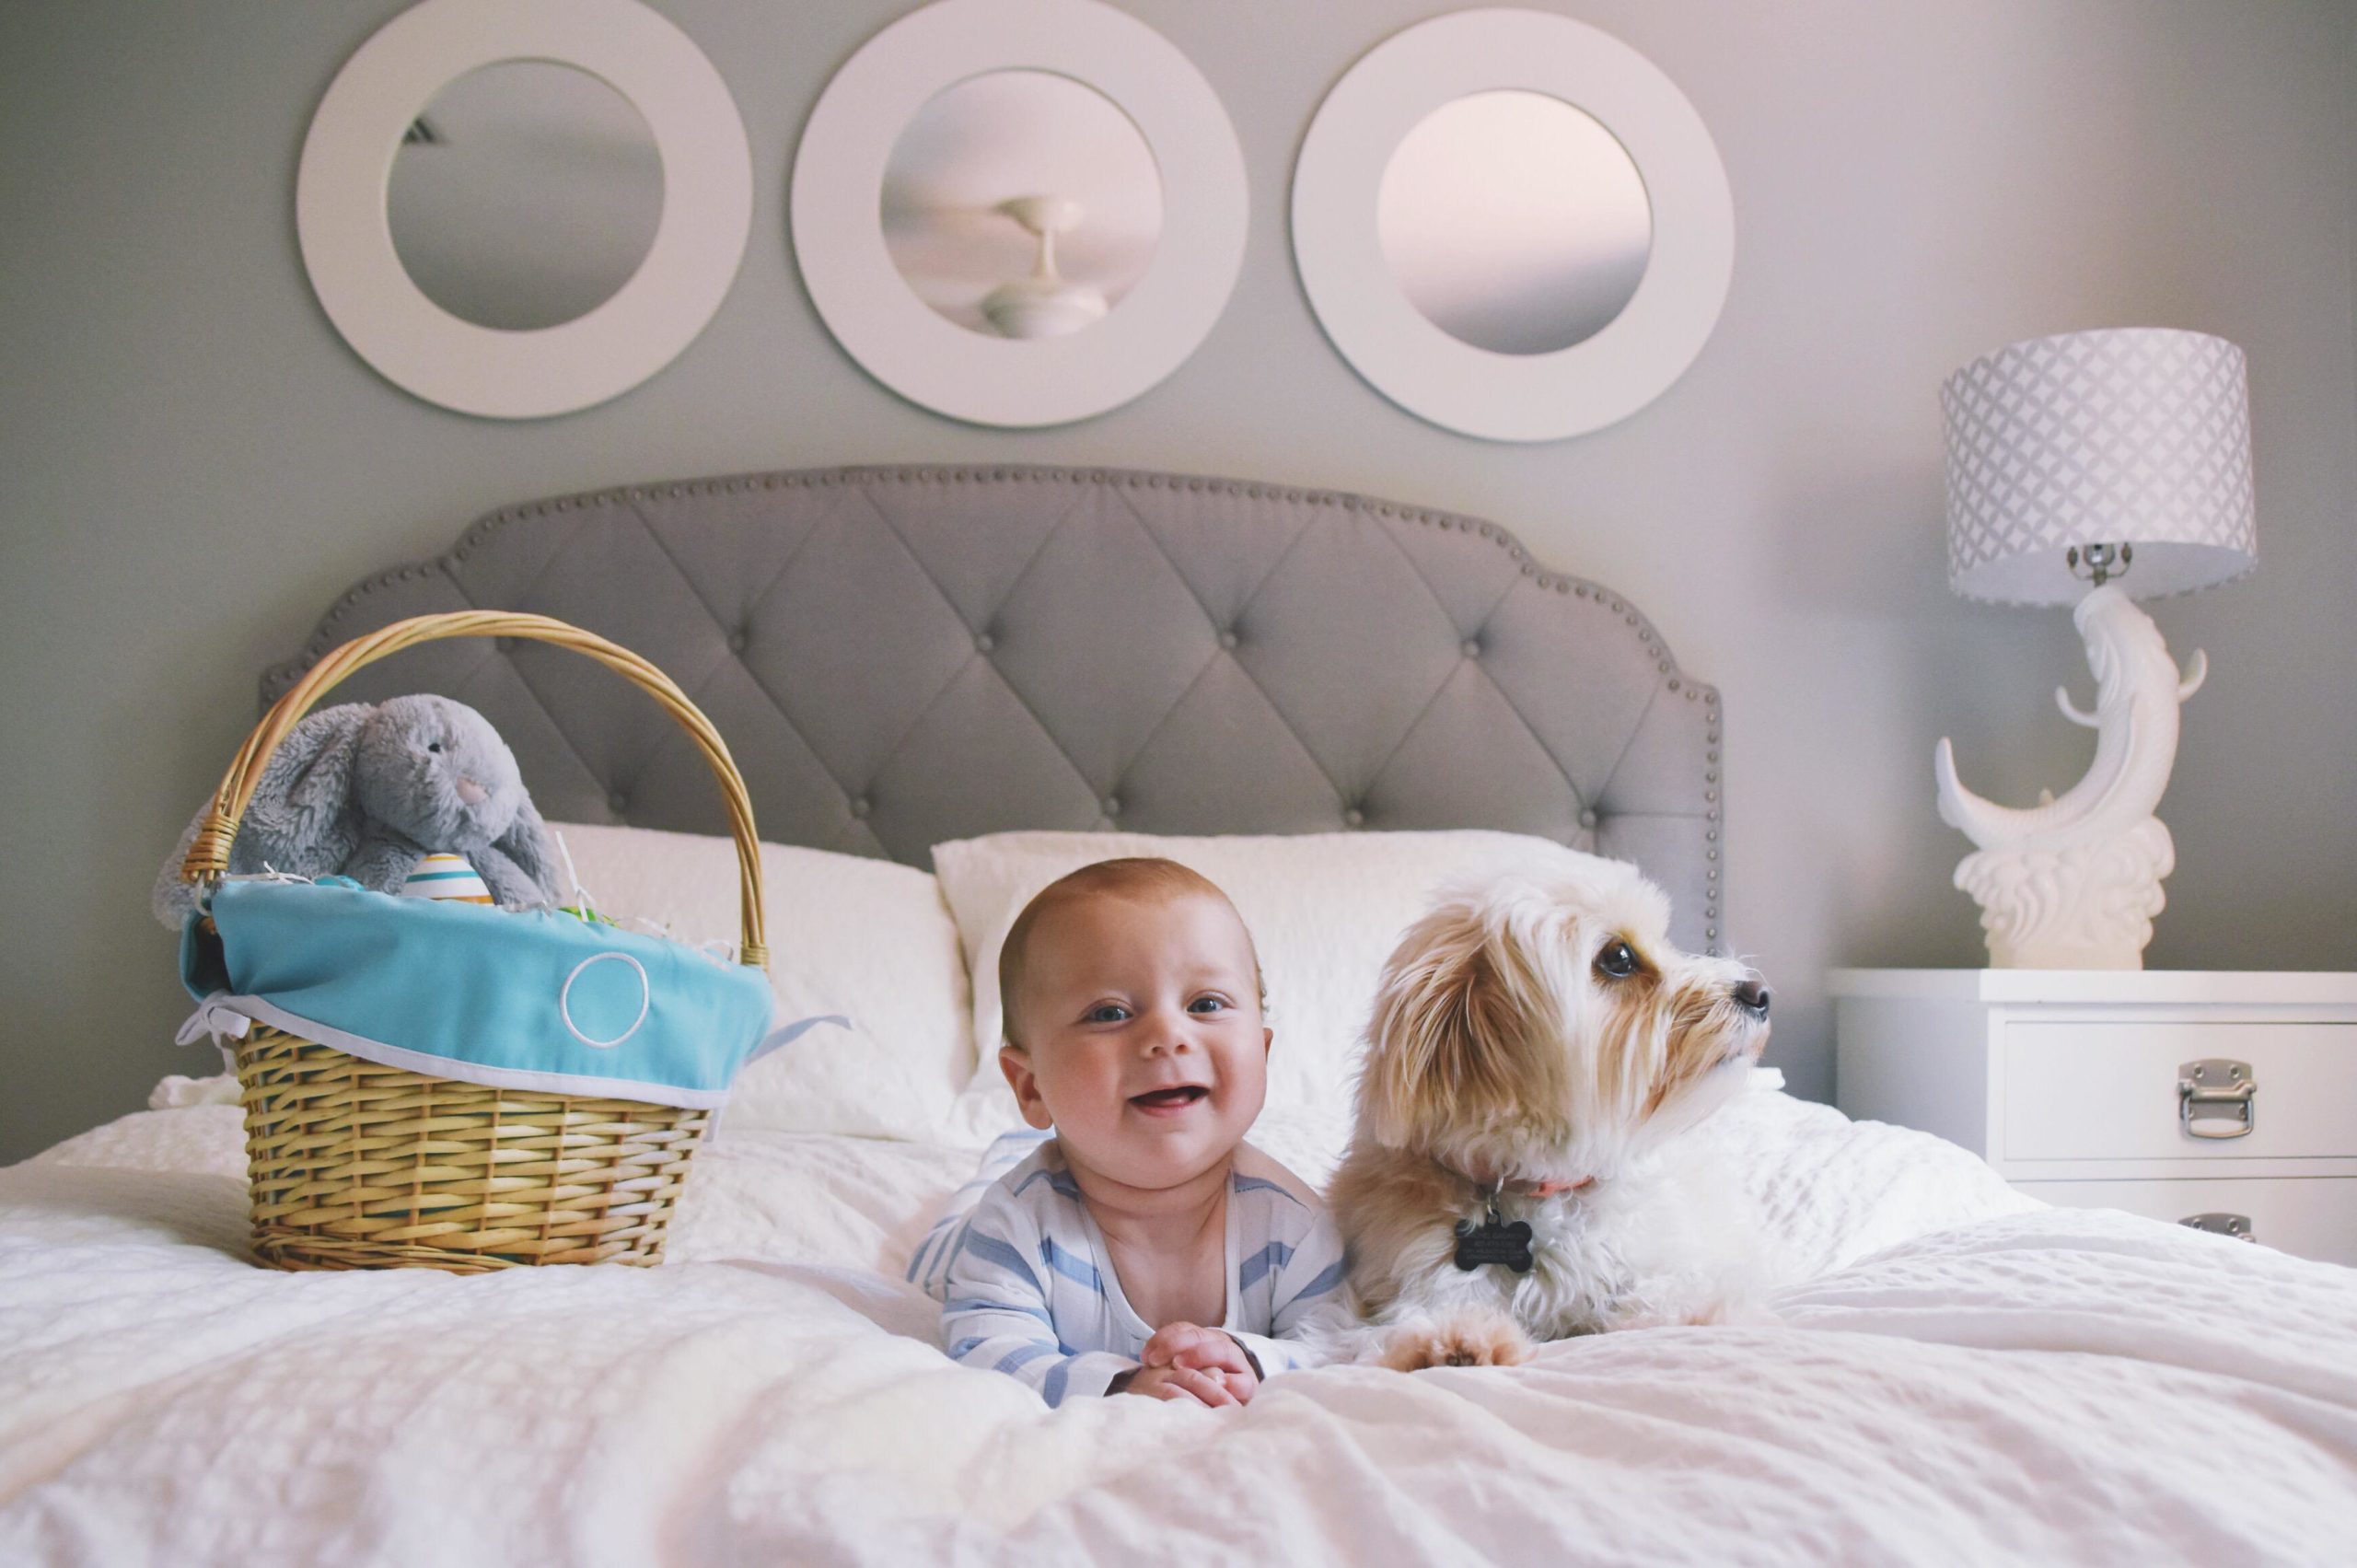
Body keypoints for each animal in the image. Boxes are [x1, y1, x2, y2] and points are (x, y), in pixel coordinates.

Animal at [1329, 858, 1772, 1367]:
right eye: (1619, 958)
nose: (1760, 992)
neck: (1546, 1184)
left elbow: (1673, 1287)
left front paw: (1703, 1312)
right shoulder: (1389, 1286)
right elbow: (1396, 1320)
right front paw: (1454, 1339)